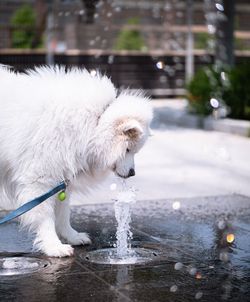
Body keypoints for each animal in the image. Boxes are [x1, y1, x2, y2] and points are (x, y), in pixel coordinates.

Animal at [0, 66, 152, 258]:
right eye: (128, 150)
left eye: (134, 151)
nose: (133, 173)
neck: (93, 124)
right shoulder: (40, 180)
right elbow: (44, 216)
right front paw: (53, 246)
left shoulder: (61, 179)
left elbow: (63, 212)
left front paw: (71, 236)